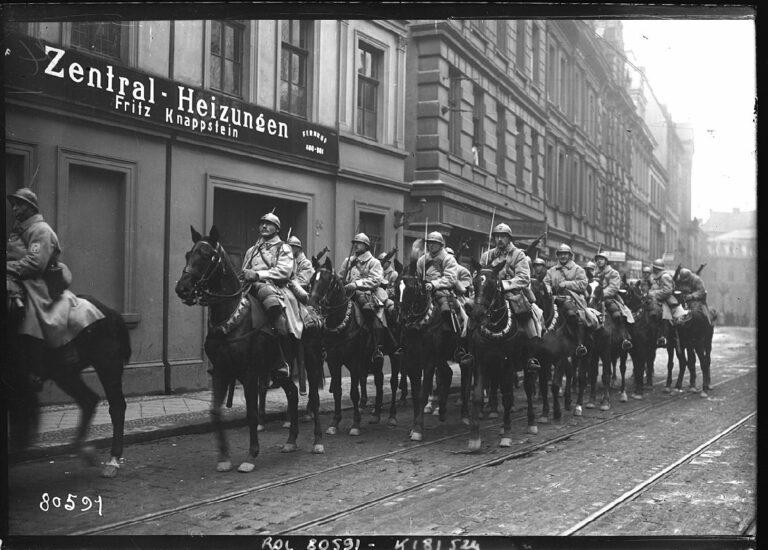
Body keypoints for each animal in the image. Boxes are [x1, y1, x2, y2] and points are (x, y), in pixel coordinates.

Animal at [5, 280, 130, 478]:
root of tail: (110, 312)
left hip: (107, 364)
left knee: (116, 406)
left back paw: (112, 462)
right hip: (65, 374)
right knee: (89, 400)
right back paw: (84, 450)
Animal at [177, 227, 324, 474]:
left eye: (207, 255)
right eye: (189, 254)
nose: (183, 289)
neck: (231, 317)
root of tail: (311, 309)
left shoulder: (249, 373)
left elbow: (252, 413)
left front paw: (251, 455)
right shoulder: (221, 372)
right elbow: (215, 412)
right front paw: (224, 458)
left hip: (311, 362)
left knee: (313, 396)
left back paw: (318, 442)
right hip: (278, 368)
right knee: (293, 394)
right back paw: (291, 441)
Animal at [468, 264, 540, 452]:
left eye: (494, 284)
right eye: (474, 283)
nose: (477, 314)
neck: (495, 327)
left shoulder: (508, 363)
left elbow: (507, 398)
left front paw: (507, 435)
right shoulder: (481, 362)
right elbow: (477, 396)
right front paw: (474, 438)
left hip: (525, 362)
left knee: (528, 388)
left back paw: (531, 423)